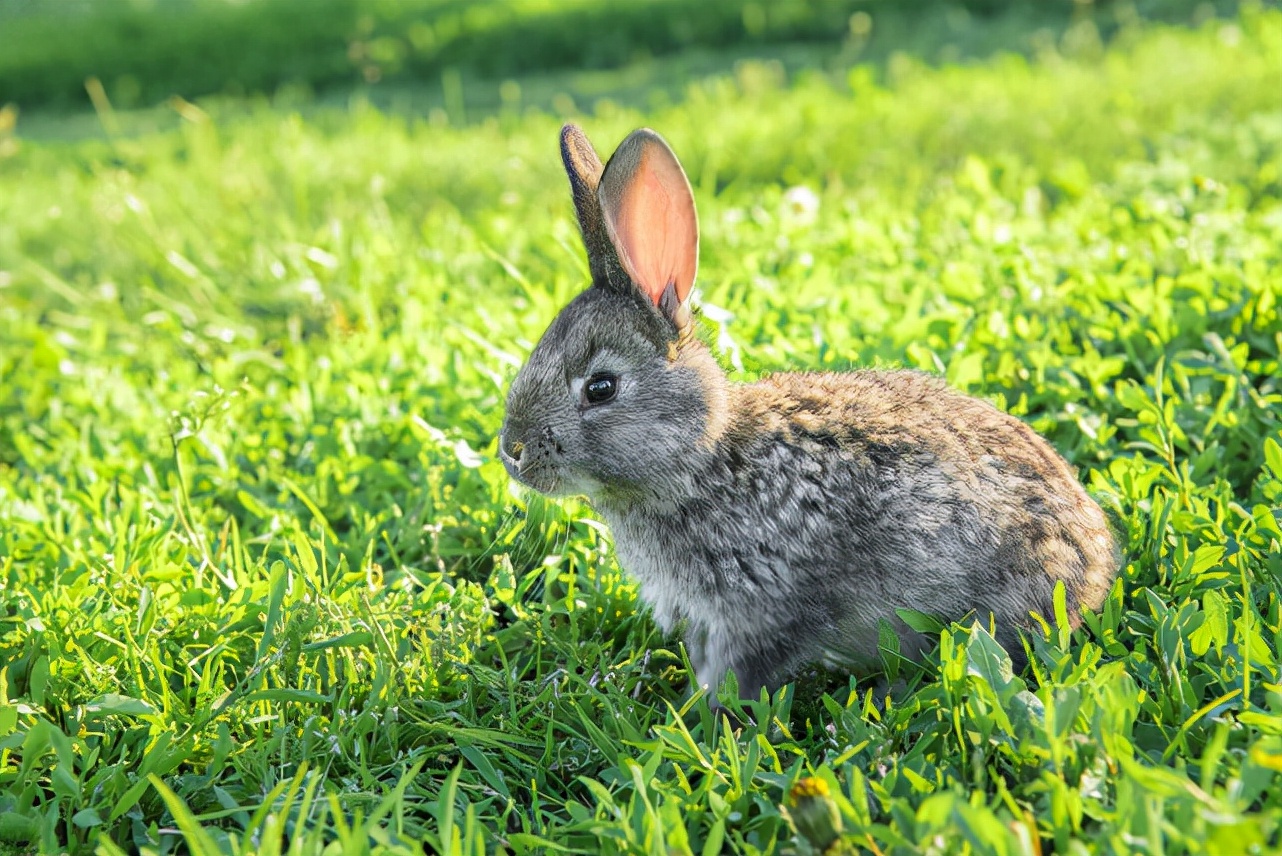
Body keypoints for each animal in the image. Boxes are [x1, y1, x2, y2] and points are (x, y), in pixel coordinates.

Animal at [494, 125, 1117, 702]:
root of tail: (1095, 567)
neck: (704, 458)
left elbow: (737, 675)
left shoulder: (762, 608)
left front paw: (700, 717)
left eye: (600, 388)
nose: (512, 451)